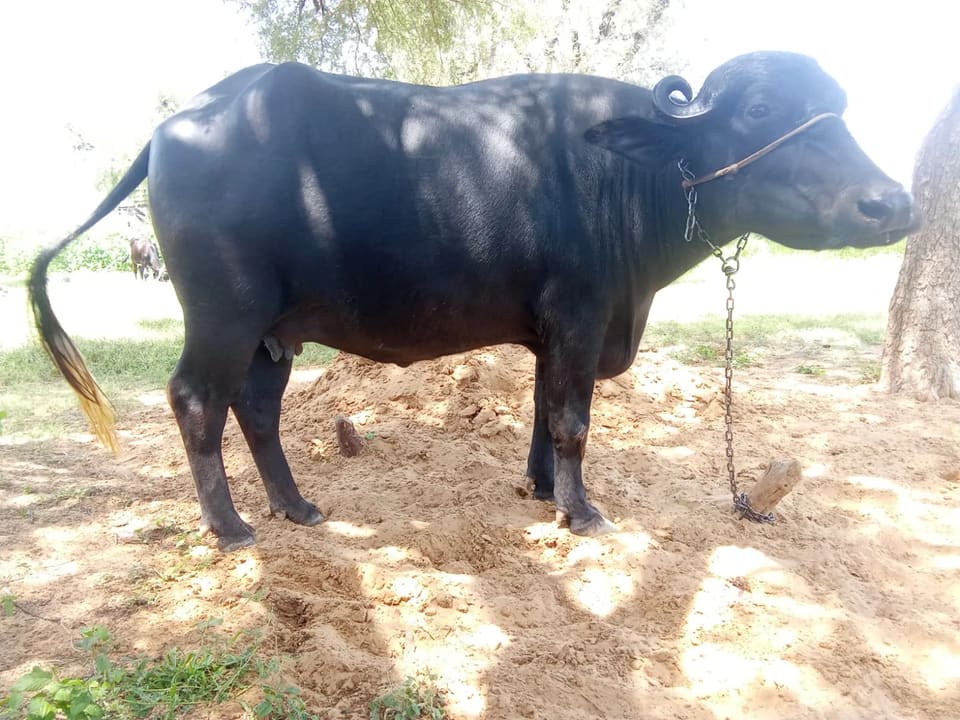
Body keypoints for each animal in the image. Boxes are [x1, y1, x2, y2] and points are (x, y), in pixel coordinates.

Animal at [30, 52, 918, 550]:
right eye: (761, 110)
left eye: (839, 108)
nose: (892, 204)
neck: (625, 179)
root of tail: (175, 129)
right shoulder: (580, 312)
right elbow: (573, 418)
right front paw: (582, 513)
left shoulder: (555, 331)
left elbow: (542, 410)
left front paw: (541, 491)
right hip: (223, 315)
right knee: (195, 402)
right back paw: (231, 527)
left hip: (273, 332)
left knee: (256, 409)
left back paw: (297, 506)